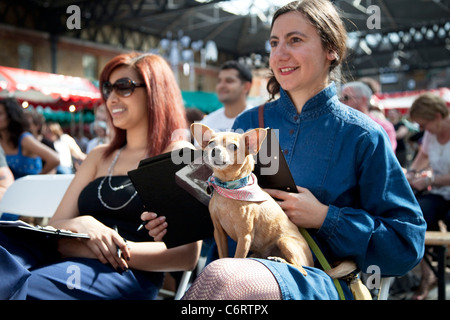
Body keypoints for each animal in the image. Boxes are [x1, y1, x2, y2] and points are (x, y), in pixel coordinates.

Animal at [192, 122, 314, 276]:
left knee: (302, 269)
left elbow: (237, 258)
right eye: (211, 143)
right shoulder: (219, 232)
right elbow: (222, 255)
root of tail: (313, 262)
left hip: (285, 241)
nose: (215, 150)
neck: (229, 188)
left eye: (233, 146)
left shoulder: (244, 237)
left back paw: (280, 260)